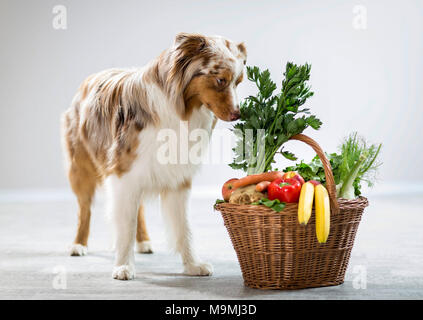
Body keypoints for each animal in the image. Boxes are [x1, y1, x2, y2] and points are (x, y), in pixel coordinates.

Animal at [62, 33, 248, 280]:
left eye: (238, 82)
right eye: (220, 80)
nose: (238, 114)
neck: (183, 111)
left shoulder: (178, 177)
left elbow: (183, 227)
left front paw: (193, 265)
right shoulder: (123, 173)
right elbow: (126, 223)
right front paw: (124, 266)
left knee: (138, 209)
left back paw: (143, 242)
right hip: (81, 168)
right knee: (85, 209)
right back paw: (78, 245)